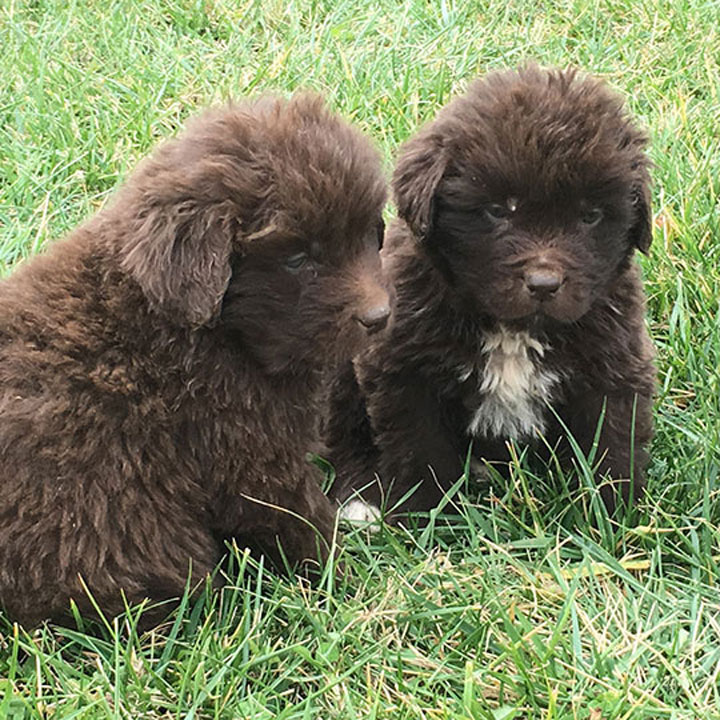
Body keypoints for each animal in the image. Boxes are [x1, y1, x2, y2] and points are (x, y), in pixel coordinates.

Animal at [0, 93, 388, 628]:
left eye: (372, 235)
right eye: (297, 259)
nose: (382, 316)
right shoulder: (248, 452)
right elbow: (297, 517)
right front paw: (345, 582)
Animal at [330, 64, 656, 520]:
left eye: (590, 215)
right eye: (499, 211)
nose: (543, 284)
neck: (514, 328)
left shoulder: (613, 363)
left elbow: (611, 444)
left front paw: (613, 517)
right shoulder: (403, 370)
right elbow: (419, 449)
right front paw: (425, 515)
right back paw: (359, 497)